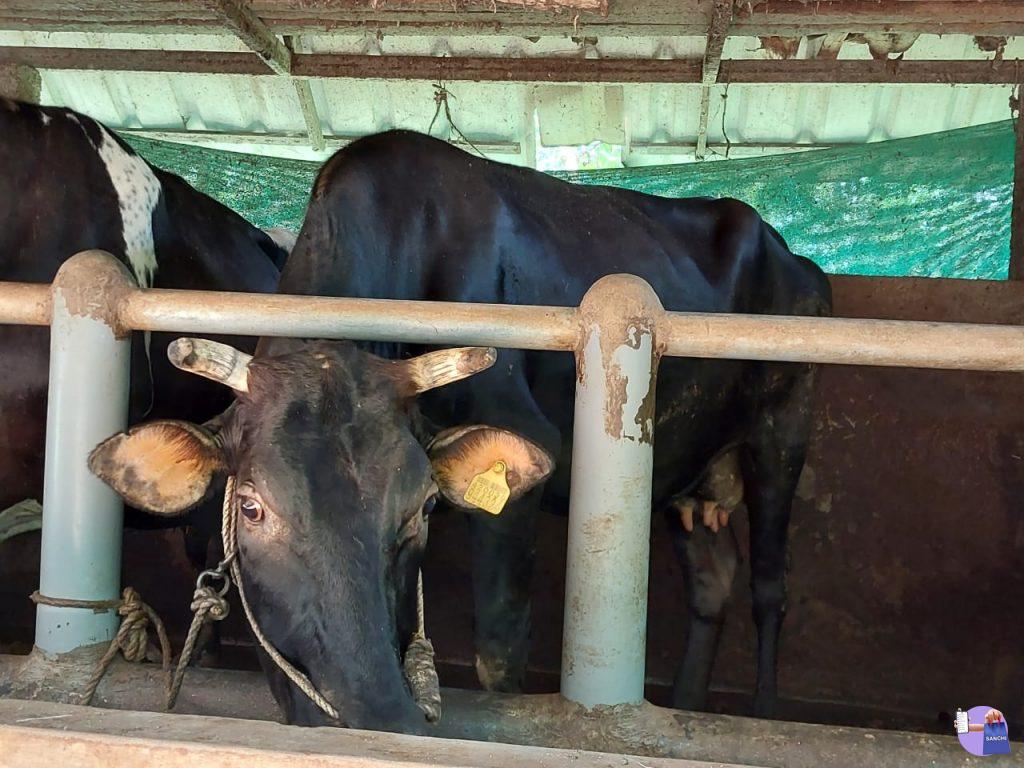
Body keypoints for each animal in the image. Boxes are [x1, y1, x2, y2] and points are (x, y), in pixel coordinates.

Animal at [90, 130, 832, 731]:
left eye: (421, 509)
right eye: (250, 508)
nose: (374, 714)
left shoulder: (525, 467)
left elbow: (498, 654)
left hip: (785, 428)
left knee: (770, 587)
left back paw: (766, 715)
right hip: (687, 474)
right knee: (713, 577)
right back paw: (685, 703)